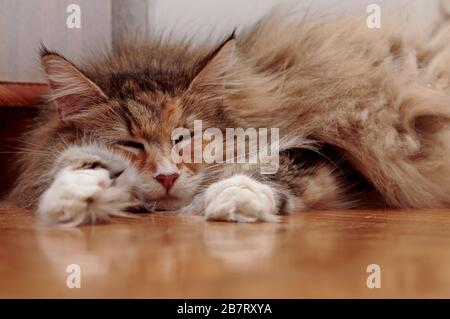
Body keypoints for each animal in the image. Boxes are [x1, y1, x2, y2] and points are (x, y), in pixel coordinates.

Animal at [7, 11, 450, 226]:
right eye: (130, 143)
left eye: (184, 138)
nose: (166, 177)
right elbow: (68, 168)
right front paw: (75, 196)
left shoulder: (324, 149)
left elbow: (270, 171)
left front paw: (234, 197)